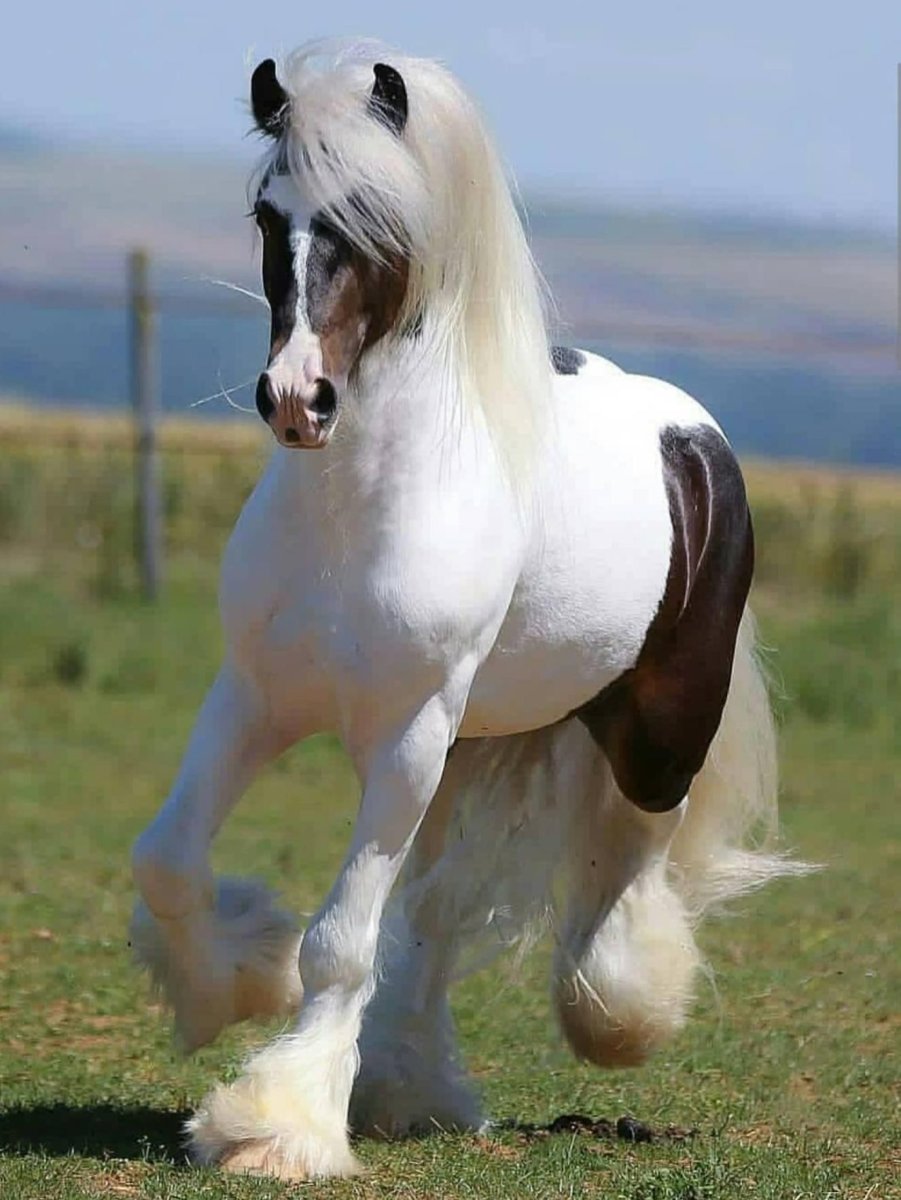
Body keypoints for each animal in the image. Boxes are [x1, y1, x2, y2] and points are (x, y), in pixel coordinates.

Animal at [130, 41, 803, 1180]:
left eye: (376, 217)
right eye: (268, 213)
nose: (296, 400)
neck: (359, 509)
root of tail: (692, 438)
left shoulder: (405, 734)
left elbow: (341, 939)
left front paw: (272, 1126)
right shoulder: (256, 699)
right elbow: (169, 861)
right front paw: (237, 980)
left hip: (653, 728)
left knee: (630, 863)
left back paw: (618, 1011)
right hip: (470, 745)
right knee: (441, 908)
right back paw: (409, 1088)